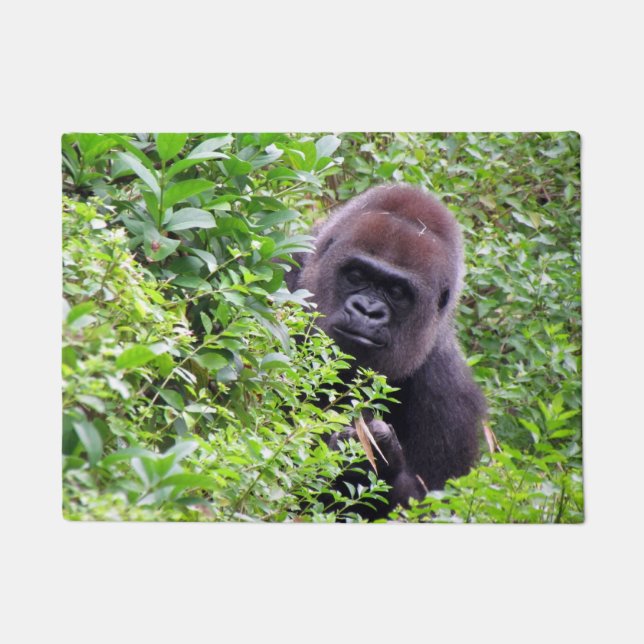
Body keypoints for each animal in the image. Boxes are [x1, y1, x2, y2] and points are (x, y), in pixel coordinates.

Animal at [286, 184, 487, 519]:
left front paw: (380, 460)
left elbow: (429, 508)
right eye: (356, 276)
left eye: (396, 292)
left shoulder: (452, 398)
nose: (367, 311)